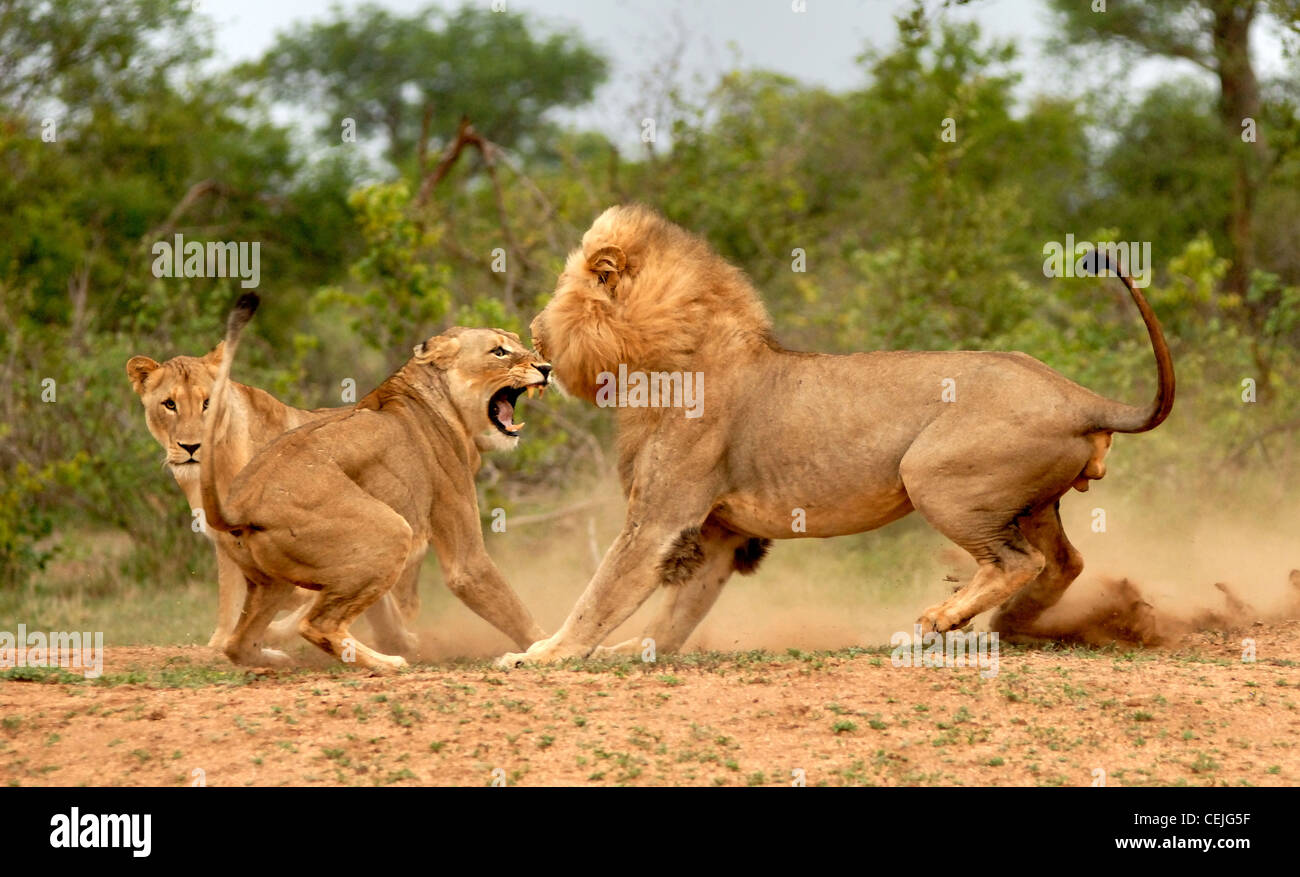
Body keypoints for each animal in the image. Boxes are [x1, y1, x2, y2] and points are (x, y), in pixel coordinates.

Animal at [200, 294, 551, 670]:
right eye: (498, 351)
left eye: (517, 342)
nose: (547, 368)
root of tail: (239, 504)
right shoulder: (465, 558)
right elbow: (508, 605)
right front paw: (544, 646)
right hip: (392, 530)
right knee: (317, 624)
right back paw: (388, 663)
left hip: (271, 583)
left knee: (237, 644)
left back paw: (277, 658)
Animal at [493, 205, 1170, 670]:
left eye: (561, 293)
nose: (534, 328)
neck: (661, 359)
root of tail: (1077, 394)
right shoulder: (719, 532)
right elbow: (680, 610)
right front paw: (639, 649)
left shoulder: (660, 517)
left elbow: (603, 590)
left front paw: (545, 653)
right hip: (1032, 501)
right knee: (1064, 563)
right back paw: (998, 624)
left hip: (934, 476)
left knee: (1018, 561)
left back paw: (946, 617)